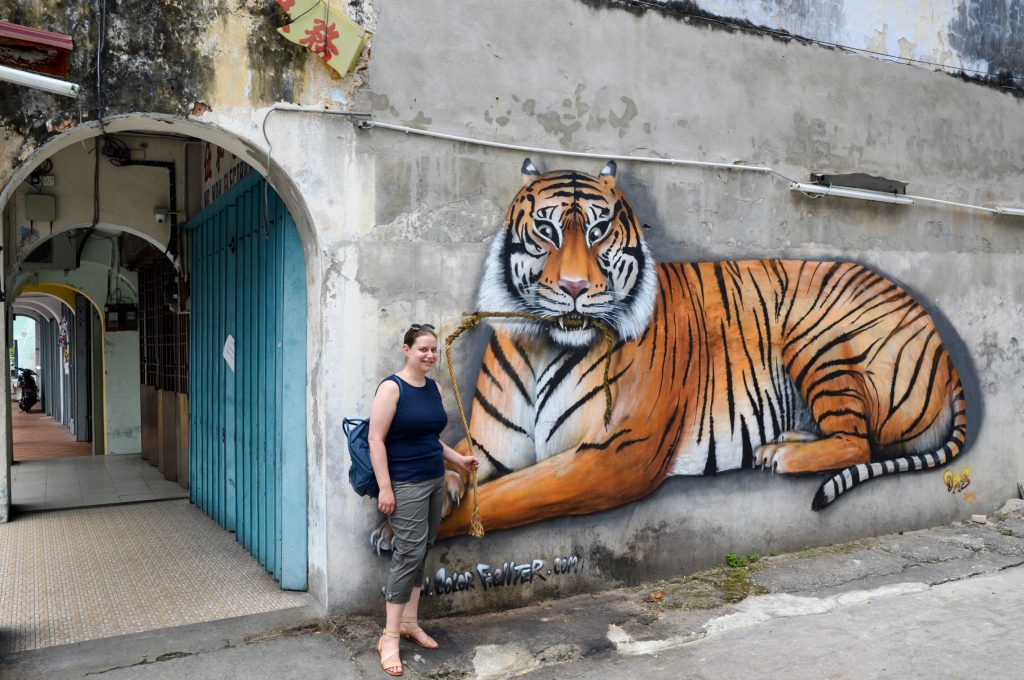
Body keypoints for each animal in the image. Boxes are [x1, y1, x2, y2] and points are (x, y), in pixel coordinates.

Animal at [428, 159, 970, 540]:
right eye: (546, 229)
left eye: (600, 231)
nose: (576, 287)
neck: (544, 346)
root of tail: (936, 332)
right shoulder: (489, 445)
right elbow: (450, 462)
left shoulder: (616, 453)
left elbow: (503, 497)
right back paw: (786, 441)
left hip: (818, 339)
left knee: (860, 442)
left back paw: (782, 456)